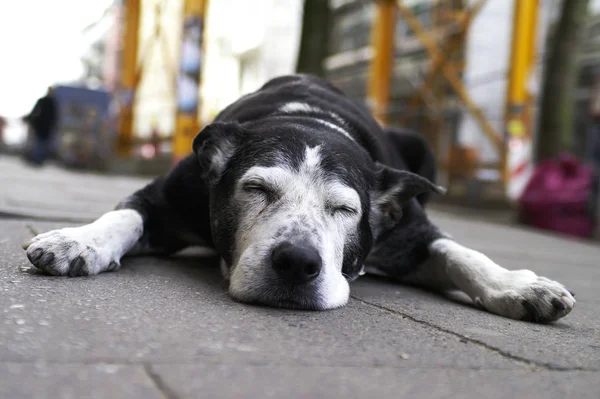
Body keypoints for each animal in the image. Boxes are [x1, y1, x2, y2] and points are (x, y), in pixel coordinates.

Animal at [23, 75, 576, 324]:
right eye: (255, 189)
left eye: (346, 210)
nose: (296, 263)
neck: (310, 121)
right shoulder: (168, 194)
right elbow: (125, 216)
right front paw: (79, 241)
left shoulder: (410, 231)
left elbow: (461, 252)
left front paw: (518, 286)